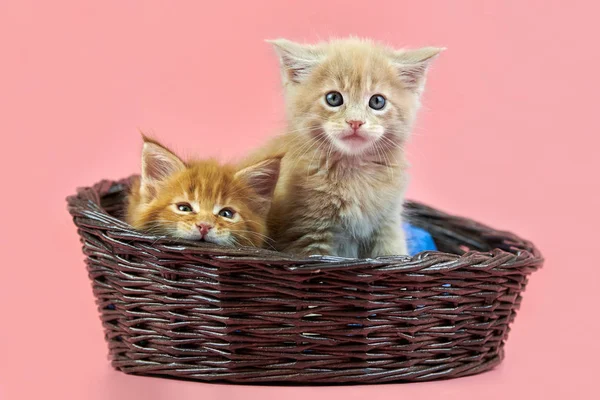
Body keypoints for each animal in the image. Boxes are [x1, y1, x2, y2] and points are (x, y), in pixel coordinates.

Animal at [243, 36, 440, 256]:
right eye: (334, 98)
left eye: (377, 101)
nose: (355, 122)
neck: (354, 172)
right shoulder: (309, 234)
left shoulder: (388, 225)